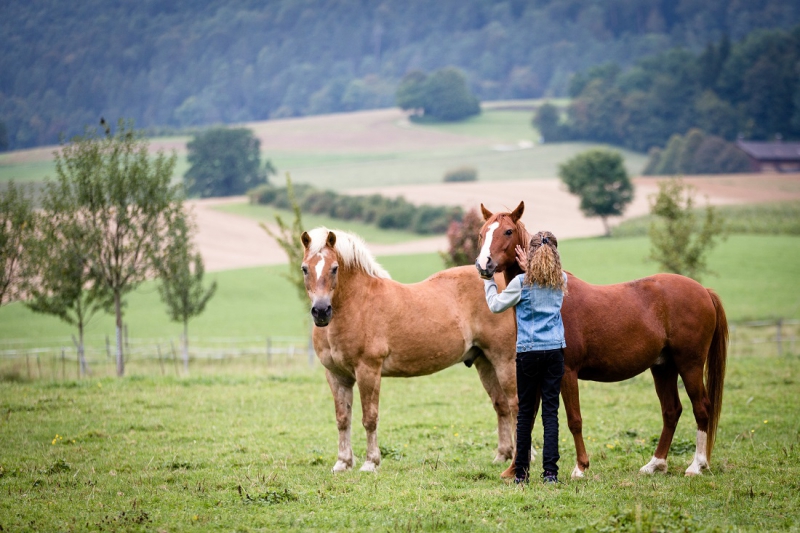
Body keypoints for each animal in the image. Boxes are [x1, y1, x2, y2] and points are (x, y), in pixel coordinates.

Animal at [300, 227, 520, 472]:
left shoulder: (368, 370)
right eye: (305, 268)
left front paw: (370, 462)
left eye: (334, 268)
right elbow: (342, 419)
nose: (321, 311)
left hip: (504, 360)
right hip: (485, 362)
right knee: (501, 406)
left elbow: (369, 418)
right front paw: (343, 463)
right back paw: (502, 455)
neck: (357, 303)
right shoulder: (336, 375)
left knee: (515, 405)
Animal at [476, 203, 732, 478]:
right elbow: (528, 418)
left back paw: (697, 465)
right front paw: (514, 470)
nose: (483, 264)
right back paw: (655, 464)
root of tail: (704, 291)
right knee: (671, 411)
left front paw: (580, 467)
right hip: (664, 367)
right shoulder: (533, 373)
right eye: (482, 232)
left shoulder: (567, 373)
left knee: (701, 408)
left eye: (508, 231)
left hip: (690, 365)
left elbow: (574, 420)